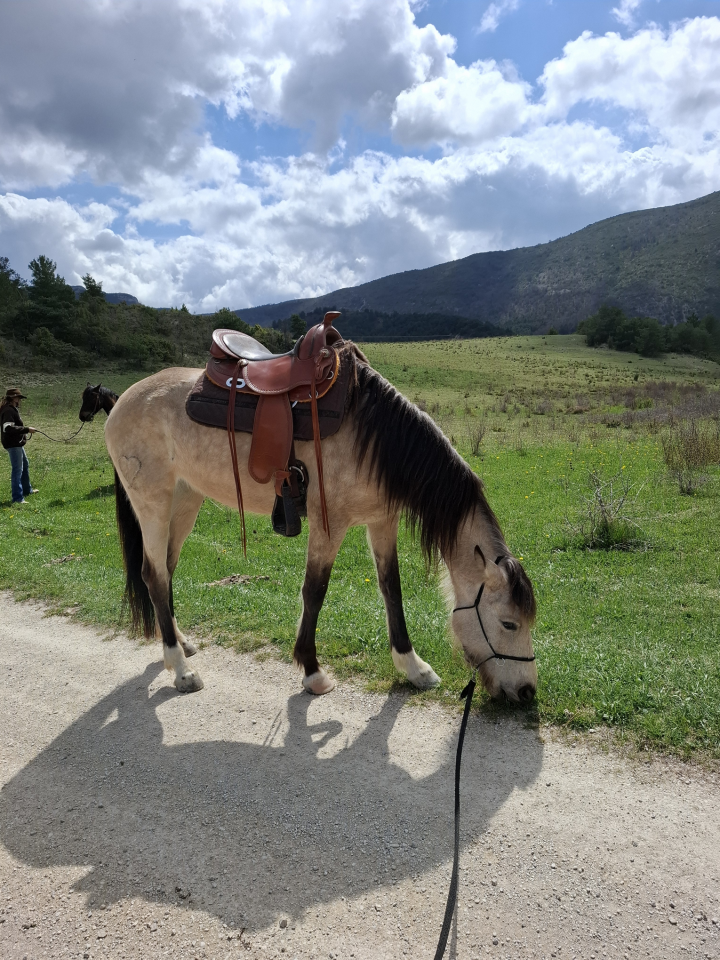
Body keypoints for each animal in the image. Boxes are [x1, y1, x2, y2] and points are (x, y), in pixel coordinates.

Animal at [105, 342, 537, 702]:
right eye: (509, 624)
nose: (528, 692)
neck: (376, 437)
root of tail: (122, 400)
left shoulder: (382, 521)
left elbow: (391, 589)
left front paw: (413, 667)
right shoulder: (331, 525)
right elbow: (315, 591)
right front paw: (312, 671)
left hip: (186, 500)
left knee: (166, 571)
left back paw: (180, 644)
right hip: (154, 504)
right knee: (154, 576)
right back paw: (180, 670)